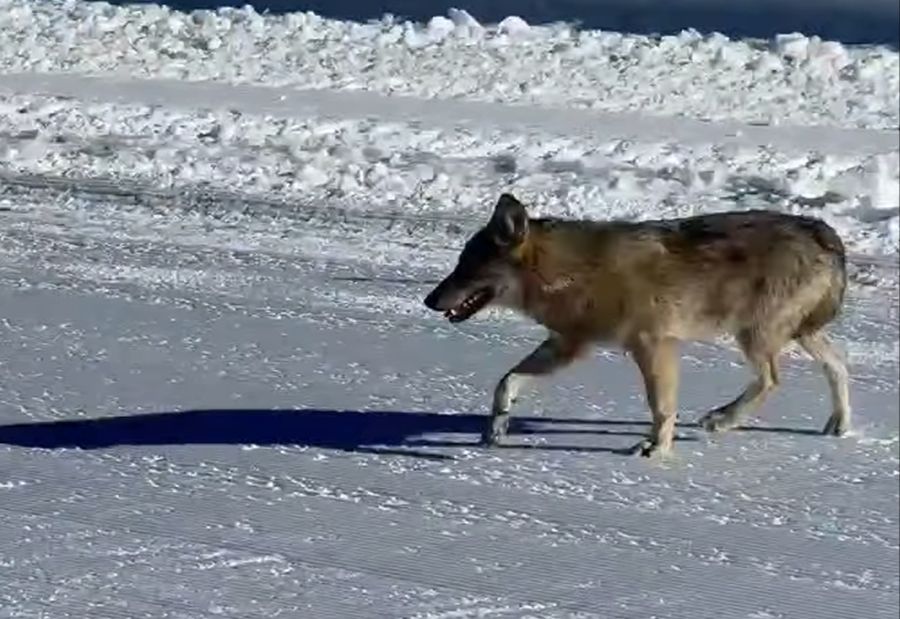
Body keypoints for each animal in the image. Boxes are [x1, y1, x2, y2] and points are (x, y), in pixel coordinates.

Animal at [423, 193, 851, 457]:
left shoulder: (652, 345)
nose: (428, 301)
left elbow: (661, 407)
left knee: (771, 380)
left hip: (754, 337)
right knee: (839, 367)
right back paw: (839, 426)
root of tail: (825, 233)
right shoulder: (568, 344)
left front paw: (654, 450)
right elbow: (506, 382)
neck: (572, 273)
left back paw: (722, 419)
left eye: (466, 269)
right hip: (797, 335)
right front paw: (495, 429)